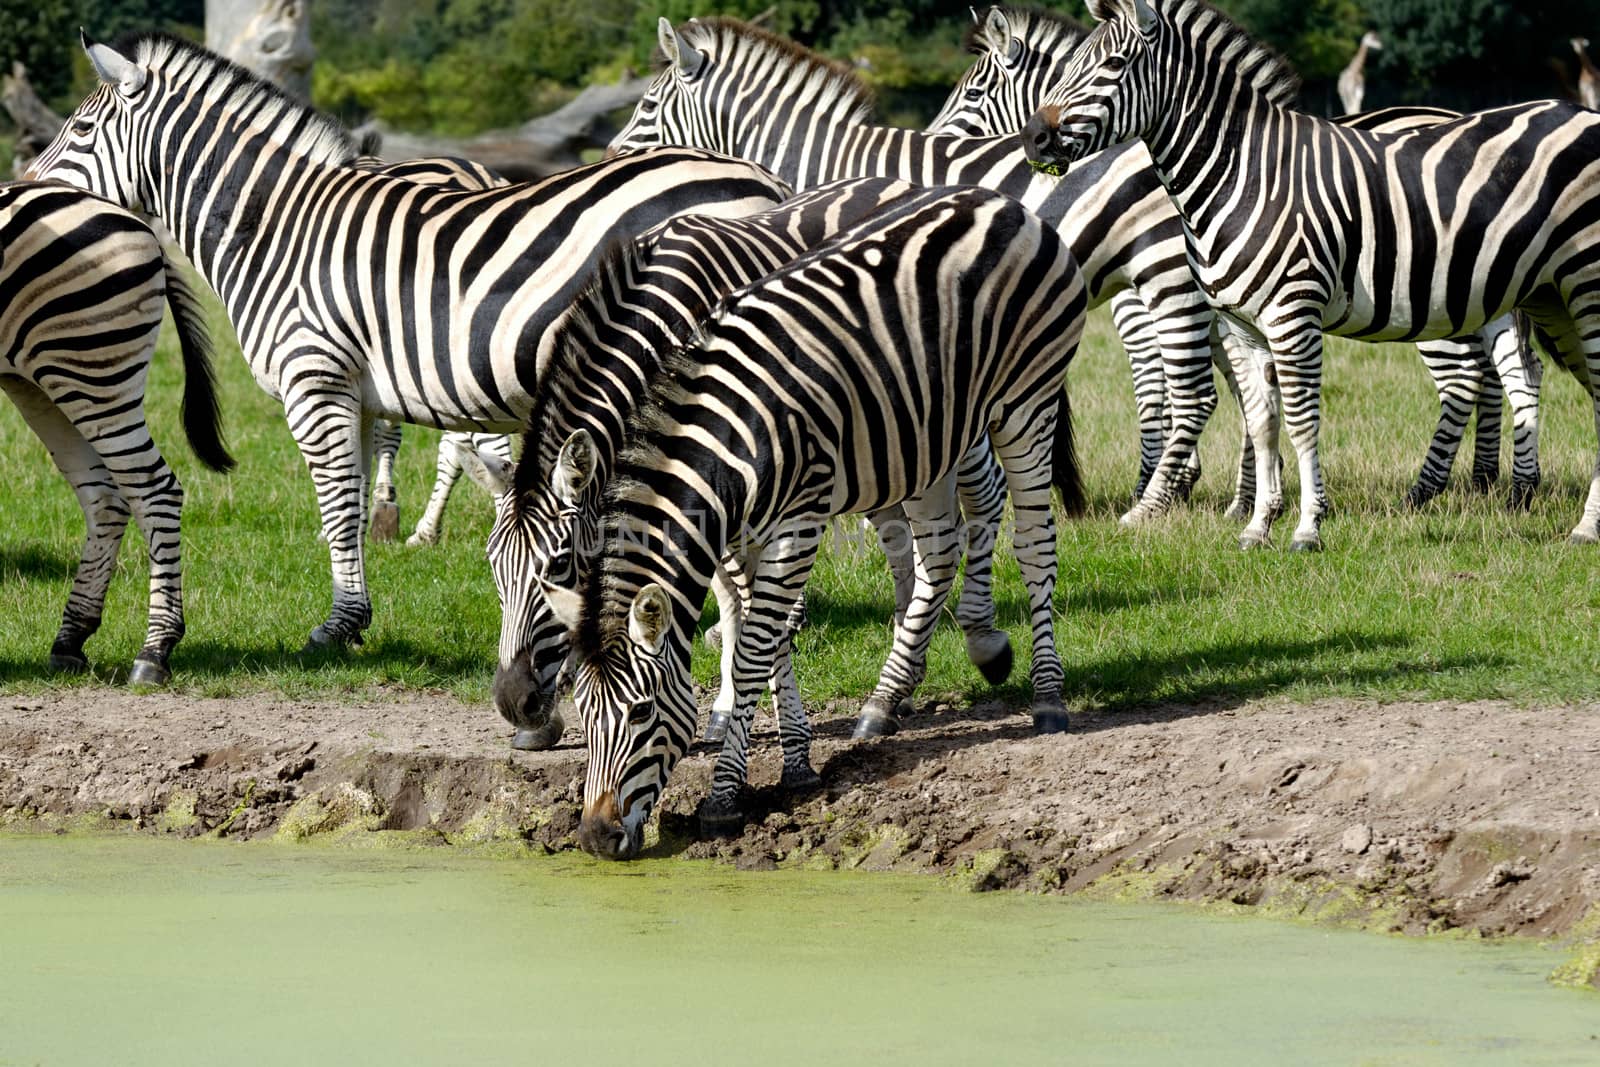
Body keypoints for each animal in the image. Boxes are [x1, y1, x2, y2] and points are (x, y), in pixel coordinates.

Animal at [0, 181, 233, 684]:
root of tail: (139, 224)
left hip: (90, 369)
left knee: (154, 489)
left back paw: (155, 649)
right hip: (40, 382)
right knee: (105, 497)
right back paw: (70, 638)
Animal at [28, 31, 790, 652]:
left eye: (83, 126)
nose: (29, 195)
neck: (279, 231)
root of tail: (761, 181)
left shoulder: (314, 380)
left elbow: (338, 505)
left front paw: (336, 627)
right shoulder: (357, 394)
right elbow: (357, 499)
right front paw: (357, 609)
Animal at [560, 185, 1088, 857]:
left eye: (642, 713)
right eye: (584, 715)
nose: (595, 838)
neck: (731, 443)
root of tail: (1000, 201)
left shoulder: (799, 521)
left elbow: (753, 650)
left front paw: (725, 798)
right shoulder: (743, 533)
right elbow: (762, 634)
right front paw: (796, 762)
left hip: (1027, 400)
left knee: (1034, 541)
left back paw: (1048, 695)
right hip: (926, 434)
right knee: (941, 549)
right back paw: (887, 699)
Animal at [1017, 0, 1600, 550]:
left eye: (1114, 64)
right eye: (1071, 63)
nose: (1034, 138)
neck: (1243, 174)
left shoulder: (1289, 314)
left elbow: (1298, 419)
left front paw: (1306, 527)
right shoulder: (1241, 325)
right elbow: (1262, 421)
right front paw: (1257, 526)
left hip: (1581, 284)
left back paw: (1578, 525)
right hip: (1546, 294)